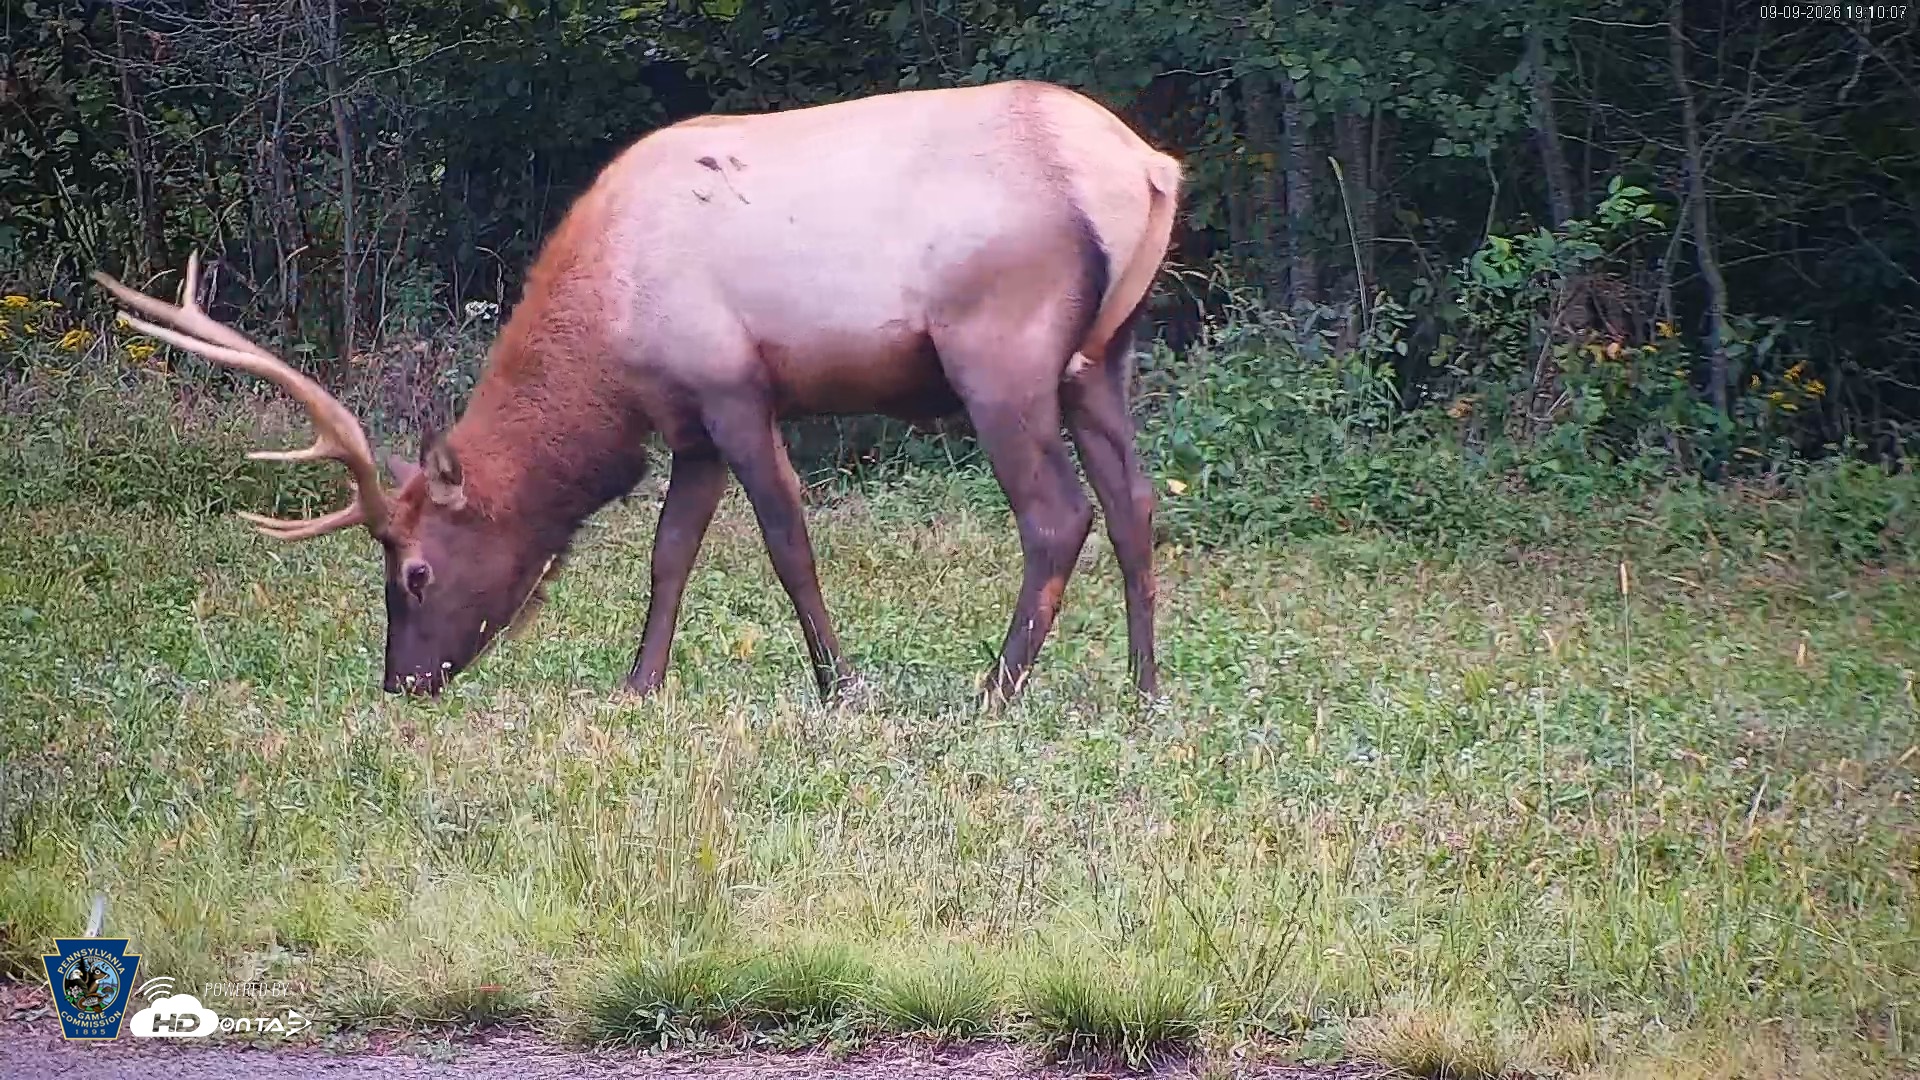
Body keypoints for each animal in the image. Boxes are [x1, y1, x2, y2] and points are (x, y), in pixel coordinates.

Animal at [94, 79, 1182, 704]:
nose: (401, 685)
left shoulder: (733, 383)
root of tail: (1149, 167)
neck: (609, 339)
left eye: (417, 574)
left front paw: (841, 686)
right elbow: (670, 554)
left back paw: (992, 691)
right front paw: (639, 685)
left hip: (1000, 346)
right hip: (1104, 356)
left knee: (1059, 515)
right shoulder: (689, 423)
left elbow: (787, 541)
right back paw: (1144, 694)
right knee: (1135, 503)